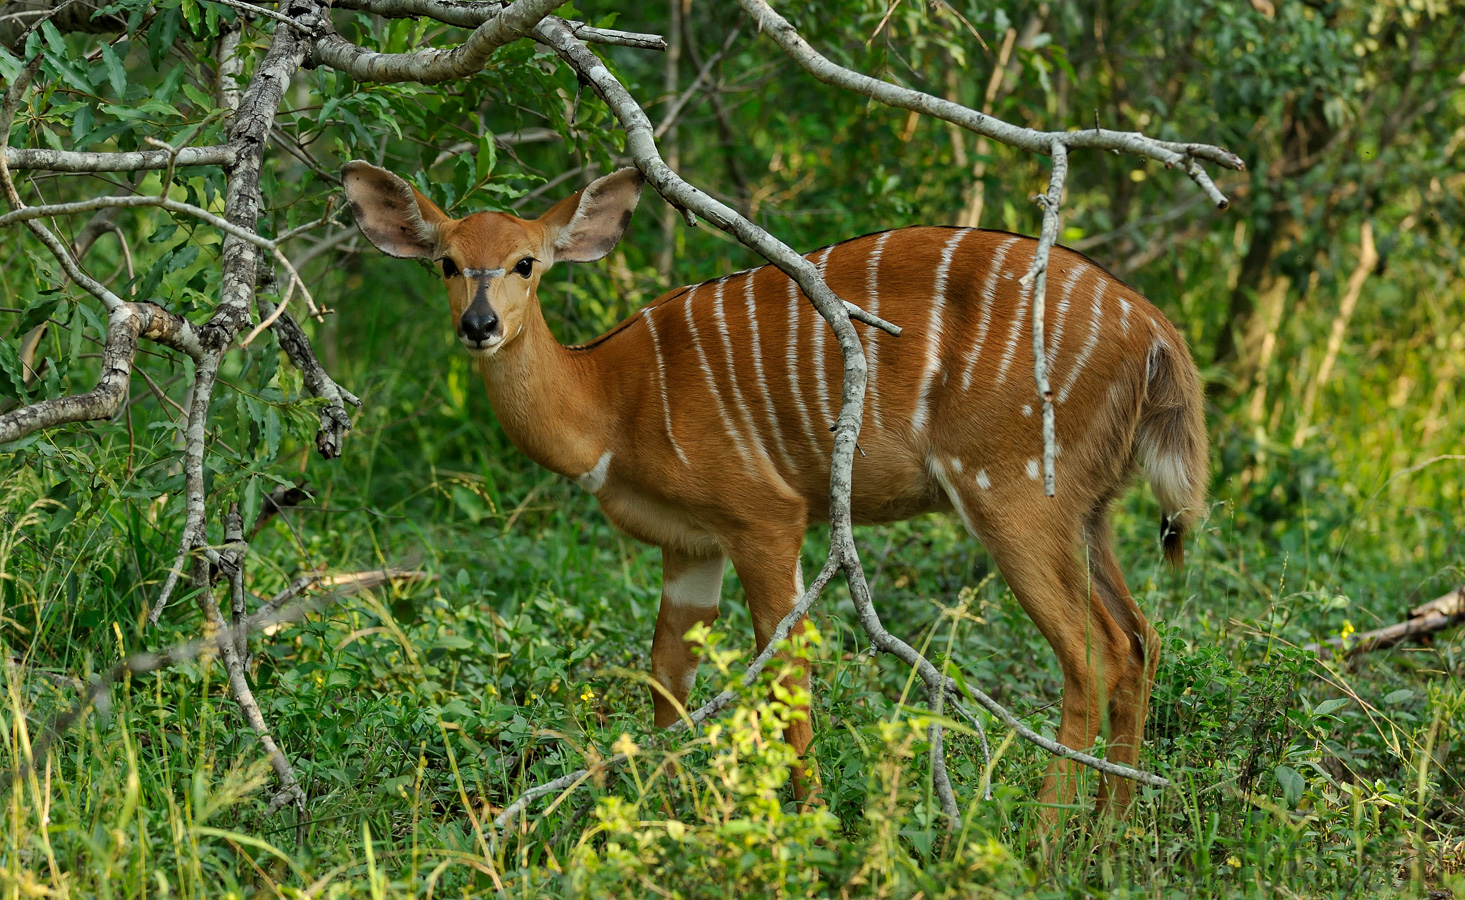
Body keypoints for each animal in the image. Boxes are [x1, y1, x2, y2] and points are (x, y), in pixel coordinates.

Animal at [342, 161, 1201, 820]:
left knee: (1091, 652)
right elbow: (668, 671)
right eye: (447, 262)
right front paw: (664, 812)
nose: (479, 326)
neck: (612, 404)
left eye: (526, 262)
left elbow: (785, 667)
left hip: (1012, 494)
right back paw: (1107, 837)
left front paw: (807, 819)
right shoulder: (689, 544)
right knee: (1140, 638)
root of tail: (1157, 332)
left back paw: (1046, 844)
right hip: (1088, 509)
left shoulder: (764, 517)